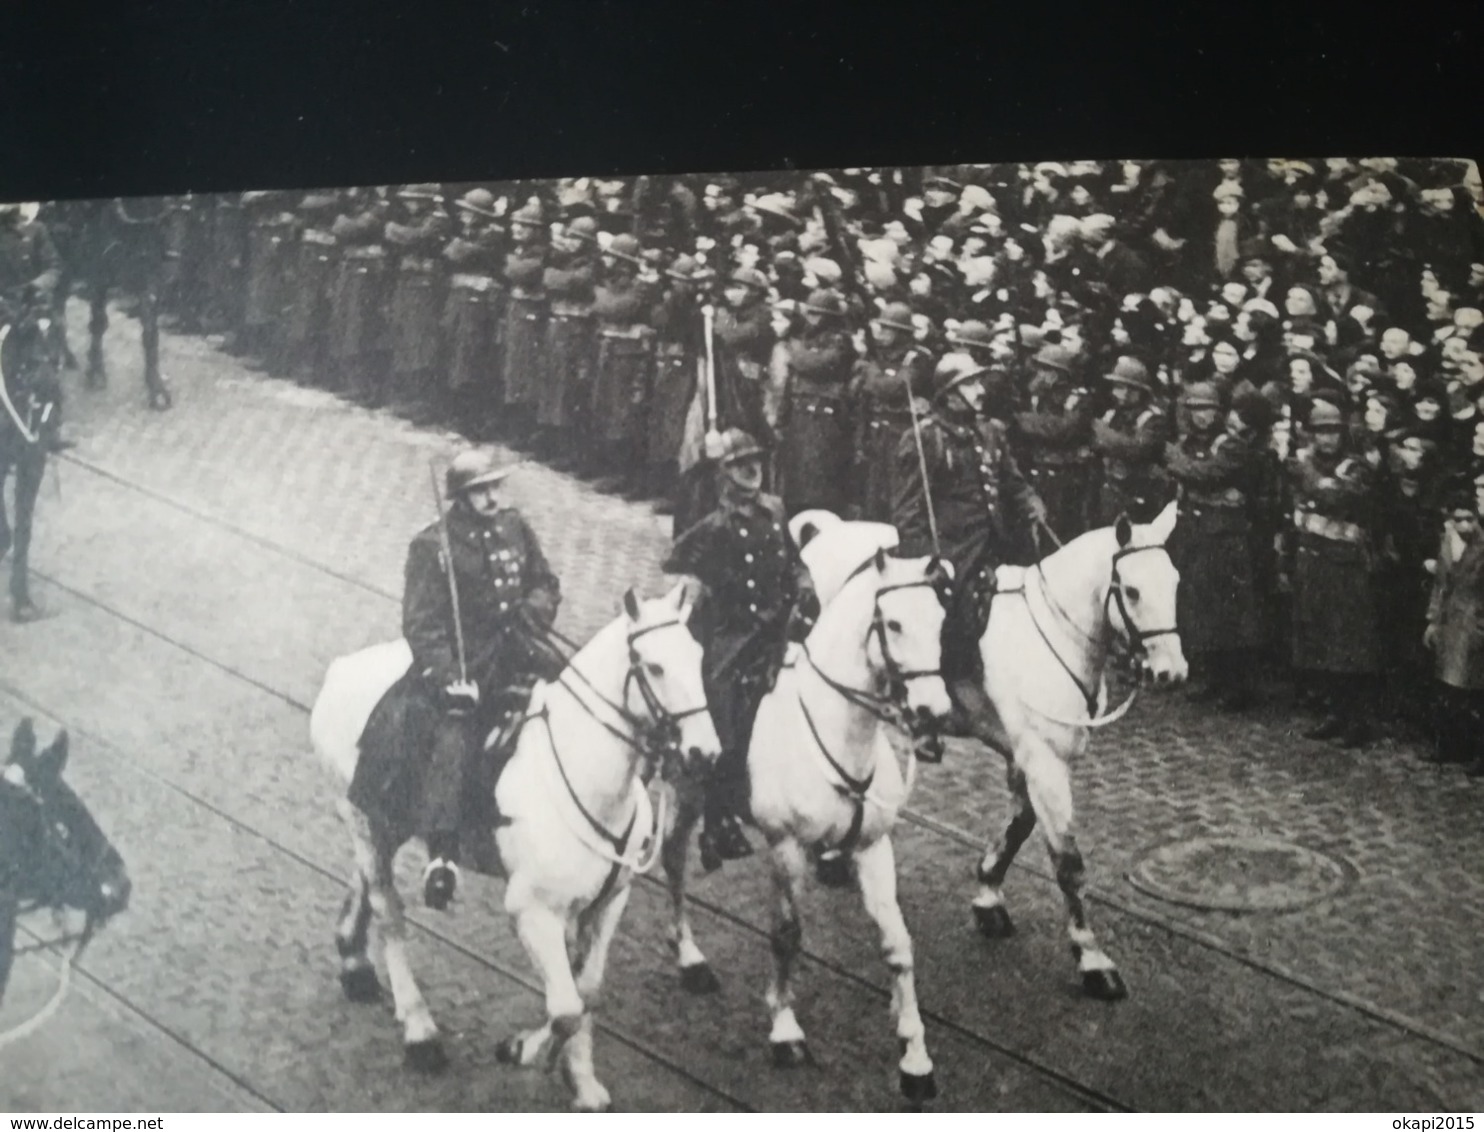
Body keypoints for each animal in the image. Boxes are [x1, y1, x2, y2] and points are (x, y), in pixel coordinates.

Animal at [308, 587, 718, 1109]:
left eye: (698, 657)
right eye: (654, 666)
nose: (705, 753)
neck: (589, 774)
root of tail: (342, 669)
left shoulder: (609, 904)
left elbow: (587, 993)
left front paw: (583, 1083)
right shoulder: (532, 911)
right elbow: (565, 1007)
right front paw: (521, 1049)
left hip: (384, 826)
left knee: (362, 883)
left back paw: (353, 959)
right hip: (367, 826)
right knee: (389, 913)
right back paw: (420, 1032)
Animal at [661, 525, 949, 1109]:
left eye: (940, 620)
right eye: (893, 622)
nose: (934, 713)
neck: (838, 731)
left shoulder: (872, 849)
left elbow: (898, 945)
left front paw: (914, 1057)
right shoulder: (786, 847)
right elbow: (786, 935)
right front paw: (785, 1029)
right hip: (686, 791)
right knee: (673, 860)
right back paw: (690, 958)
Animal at [967, 504, 1187, 1002]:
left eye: (1175, 581)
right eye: (1132, 590)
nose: (1171, 673)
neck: (1050, 635)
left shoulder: (1028, 758)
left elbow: (1019, 827)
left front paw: (988, 895)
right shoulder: (1044, 763)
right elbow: (1069, 864)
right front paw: (1092, 959)